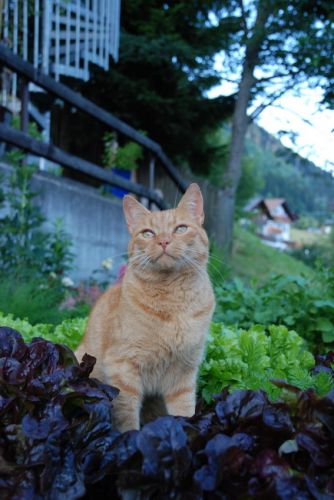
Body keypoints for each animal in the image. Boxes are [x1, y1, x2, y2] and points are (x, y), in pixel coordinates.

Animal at [75, 184, 214, 434]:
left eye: (181, 228)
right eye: (148, 233)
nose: (164, 241)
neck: (173, 302)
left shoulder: (184, 376)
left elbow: (185, 412)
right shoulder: (123, 369)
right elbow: (127, 419)